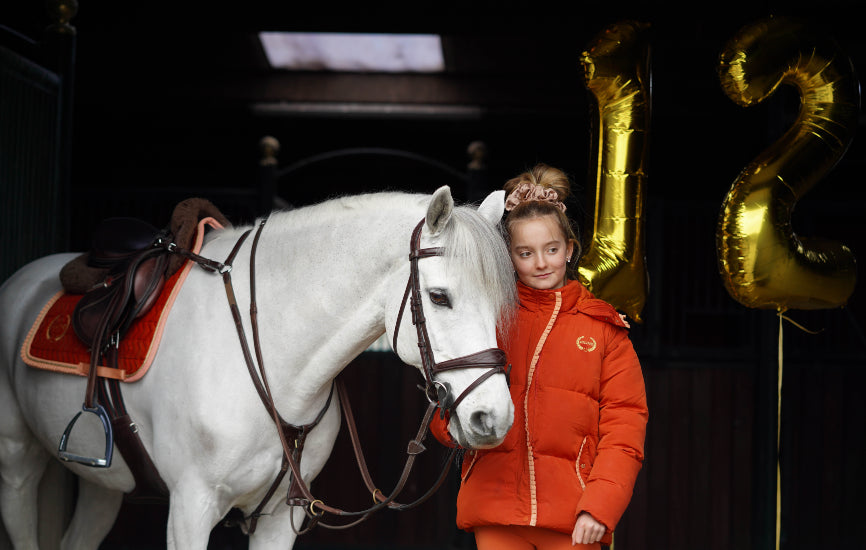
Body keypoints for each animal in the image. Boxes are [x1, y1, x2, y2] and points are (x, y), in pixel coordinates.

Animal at [0, 186, 517, 549]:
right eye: (439, 297)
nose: (493, 418)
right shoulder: (190, 507)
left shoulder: (279, 520)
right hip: (18, 463)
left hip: (102, 484)